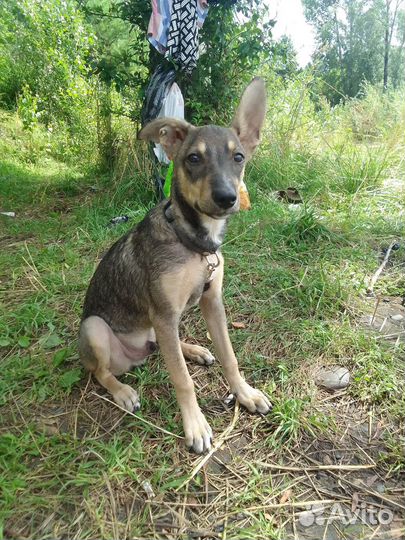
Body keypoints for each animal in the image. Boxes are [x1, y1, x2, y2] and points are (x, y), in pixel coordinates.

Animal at [79, 78, 270, 454]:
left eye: (238, 157)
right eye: (194, 158)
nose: (227, 198)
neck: (193, 242)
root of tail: (136, 354)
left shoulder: (212, 302)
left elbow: (229, 356)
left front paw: (244, 393)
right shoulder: (165, 312)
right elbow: (182, 379)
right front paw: (195, 426)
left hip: (159, 326)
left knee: (166, 346)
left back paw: (194, 350)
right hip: (96, 327)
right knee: (101, 372)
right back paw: (123, 391)